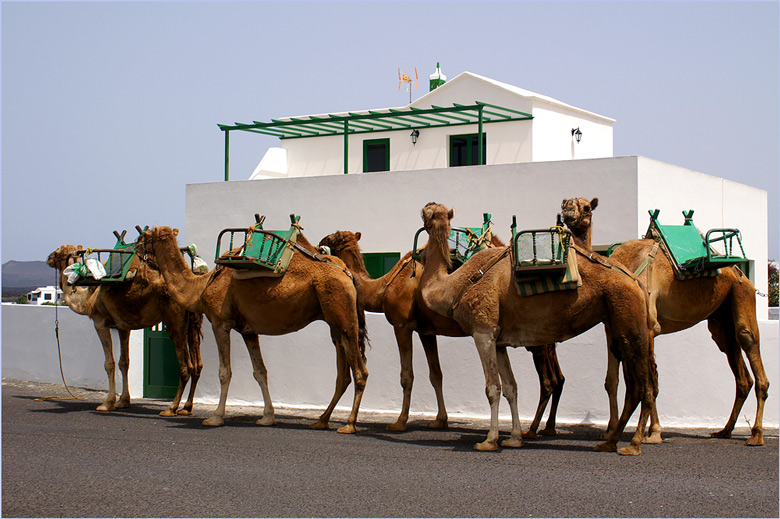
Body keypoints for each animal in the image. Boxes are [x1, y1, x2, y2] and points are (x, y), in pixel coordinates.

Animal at [44, 244, 204, 418]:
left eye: (58, 252)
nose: (48, 258)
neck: (87, 299)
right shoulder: (123, 326)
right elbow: (124, 362)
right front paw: (123, 401)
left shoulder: (100, 322)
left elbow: (109, 363)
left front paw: (107, 403)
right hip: (193, 323)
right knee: (197, 365)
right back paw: (186, 407)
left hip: (174, 319)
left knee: (186, 366)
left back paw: (172, 408)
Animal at [136, 225, 368, 432]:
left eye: (145, 235)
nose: (137, 247)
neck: (202, 286)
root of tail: (347, 274)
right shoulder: (248, 331)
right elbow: (260, 372)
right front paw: (267, 417)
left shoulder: (220, 323)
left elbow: (224, 372)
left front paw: (215, 417)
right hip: (335, 323)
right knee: (343, 373)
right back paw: (322, 421)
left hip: (343, 316)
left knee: (361, 371)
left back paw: (349, 424)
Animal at [320, 230, 564, 436]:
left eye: (333, 237)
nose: (321, 242)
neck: (383, 287)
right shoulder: (426, 331)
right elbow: (436, 375)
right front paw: (440, 420)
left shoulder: (402, 325)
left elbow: (406, 376)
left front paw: (399, 422)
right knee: (557, 379)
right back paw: (545, 428)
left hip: (535, 338)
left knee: (548, 381)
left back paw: (531, 430)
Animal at [418, 203, 656, 456]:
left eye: (427, 212)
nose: (423, 210)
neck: (453, 285)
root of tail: (636, 281)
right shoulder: (499, 341)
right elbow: (511, 387)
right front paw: (514, 438)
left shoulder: (483, 331)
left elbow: (493, 387)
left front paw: (489, 440)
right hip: (620, 322)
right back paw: (614, 440)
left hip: (628, 320)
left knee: (639, 384)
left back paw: (629, 444)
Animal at [560, 197, 768, 444]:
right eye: (566, 202)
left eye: (586, 207)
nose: (567, 211)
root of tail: (739, 269)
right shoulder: (611, 328)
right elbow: (613, 381)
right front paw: (611, 431)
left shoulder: (649, 325)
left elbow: (650, 380)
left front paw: (653, 433)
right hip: (721, 318)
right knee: (739, 369)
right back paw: (724, 431)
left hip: (742, 293)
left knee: (748, 342)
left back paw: (756, 435)